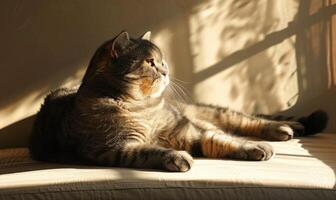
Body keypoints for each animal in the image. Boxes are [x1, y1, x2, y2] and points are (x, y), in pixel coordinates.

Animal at [29, 31, 328, 172]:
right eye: (150, 62)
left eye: (162, 60)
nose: (165, 70)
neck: (143, 107)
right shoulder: (112, 148)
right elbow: (149, 151)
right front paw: (176, 157)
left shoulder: (189, 131)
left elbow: (224, 140)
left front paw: (253, 147)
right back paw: (292, 128)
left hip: (214, 114)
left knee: (248, 121)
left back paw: (287, 128)